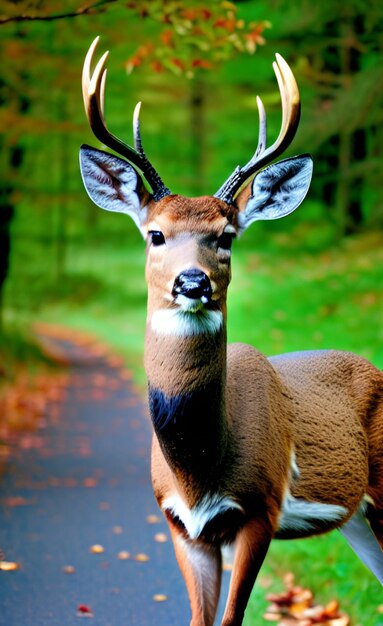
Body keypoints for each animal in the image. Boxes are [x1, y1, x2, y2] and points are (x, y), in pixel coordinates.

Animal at [80, 37, 383, 624]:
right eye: (155, 234)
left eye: (226, 236)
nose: (192, 281)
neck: (200, 471)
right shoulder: (180, 523)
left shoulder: (260, 509)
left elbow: (231, 617)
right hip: (357, 516)